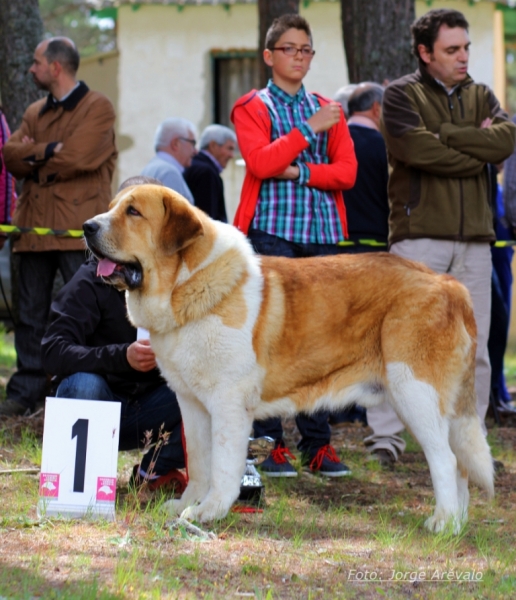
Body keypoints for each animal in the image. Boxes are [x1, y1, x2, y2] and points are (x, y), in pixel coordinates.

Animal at [82, 185, 494, 532]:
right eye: (112, 207)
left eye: (133, 212)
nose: (86, 226)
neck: (186, 284)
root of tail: (449, 285)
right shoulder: (192, 403)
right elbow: (199, 461)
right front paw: (187, 504)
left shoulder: (229, 404)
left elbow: (223, 465)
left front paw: (209, 511)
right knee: (459, 464)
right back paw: (457, 523)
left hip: (415, 393)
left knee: (447, 461)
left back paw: (443, 523)